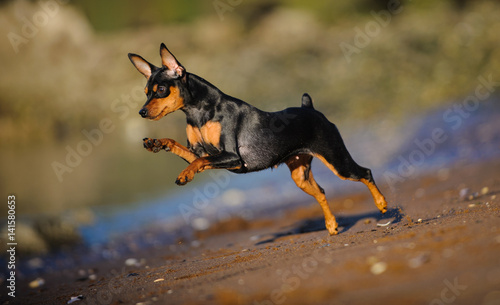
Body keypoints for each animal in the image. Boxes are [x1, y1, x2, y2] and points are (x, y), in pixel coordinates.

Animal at [128, 42, 386, 234]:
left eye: (161, 90)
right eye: (146, 93)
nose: (141, 112)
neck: (198, 113)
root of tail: (310, 108)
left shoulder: (231, 157)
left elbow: (199, 162)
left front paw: (184, 175)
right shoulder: (203, 153)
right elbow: (185, 151)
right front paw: (157, 143)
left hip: (338, 162)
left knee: (365, 173)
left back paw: (382, 205)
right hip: (300, 175)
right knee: (321, 192)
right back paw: (331, 225)